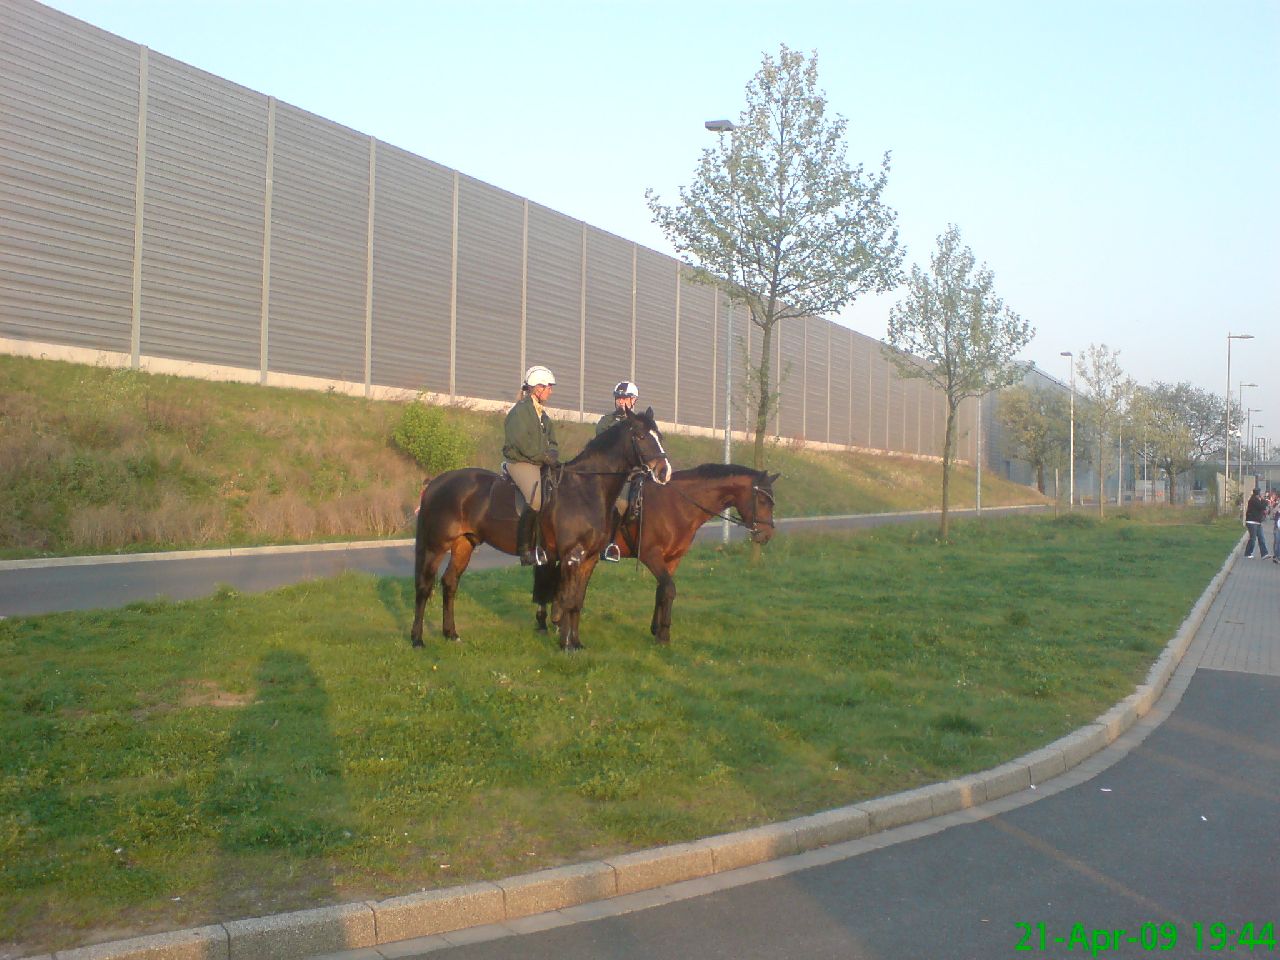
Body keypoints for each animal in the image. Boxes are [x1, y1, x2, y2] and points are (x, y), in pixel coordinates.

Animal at [407, 407, 670, 655]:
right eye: (641, 436)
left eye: (659, 436)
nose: (664, 472)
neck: (585, 489)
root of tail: (437, 482)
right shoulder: (571, 557)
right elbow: (567, 599)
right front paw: (565, 645)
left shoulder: (589, 559)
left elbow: (577, 602)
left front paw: (576, 643)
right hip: (436, 546)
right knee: (424, 587)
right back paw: (417, 640)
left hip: (464, 544)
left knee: (450, 583)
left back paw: (451, 634)